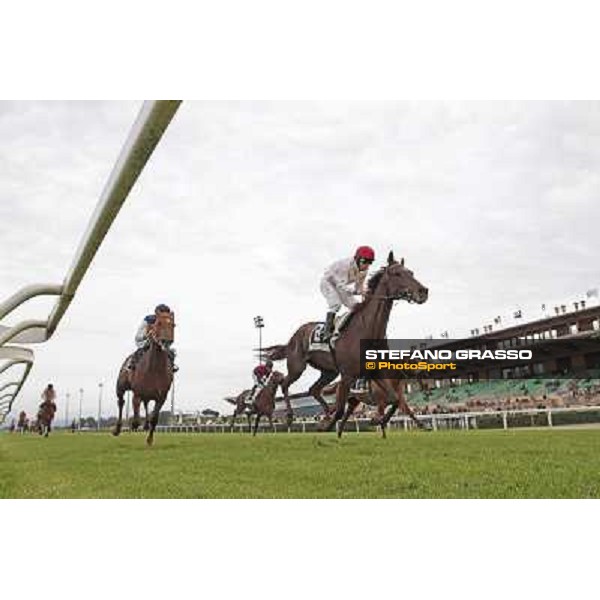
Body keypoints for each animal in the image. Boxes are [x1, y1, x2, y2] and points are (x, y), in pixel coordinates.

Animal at [112, 310, 175, 446]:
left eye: (173, 325)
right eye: (158, 323)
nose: (166, 342)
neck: (155, 369)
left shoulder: (162, 397)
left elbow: (154, 418)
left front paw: (149, 439)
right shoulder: (137, 394)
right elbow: (135, 420)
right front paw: (131, 428)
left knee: (146, 405)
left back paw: (145, 425)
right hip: (120, 386)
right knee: (121, 402)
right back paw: (117, 429)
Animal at [262, 251, 426, 438]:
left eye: (411, 272)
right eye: (397, 274)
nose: (423, 291)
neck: (367, 329)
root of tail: (294, 336)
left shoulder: (375, 372)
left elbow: (395, 400)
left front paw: (378, 421)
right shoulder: (347, 375)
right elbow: (341, 410)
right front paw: (329, 428)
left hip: (329, 371)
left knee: (314, 390)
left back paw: (326, 412)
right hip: (298, 366)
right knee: (285, 384)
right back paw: (291, 416)